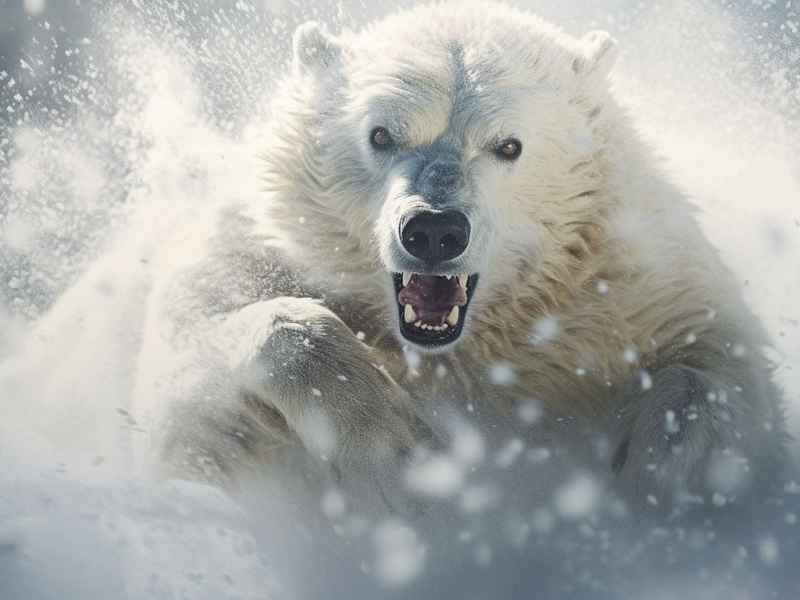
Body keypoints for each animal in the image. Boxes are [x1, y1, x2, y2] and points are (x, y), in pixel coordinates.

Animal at [130, 1, 786, 510]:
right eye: (381, 134)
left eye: (508, 145)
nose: (435, 231)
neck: (467, 350)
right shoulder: (264, 250)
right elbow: (185, 389)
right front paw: (396, 453)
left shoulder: (623, 285)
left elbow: (717, 352)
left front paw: (658, 476)